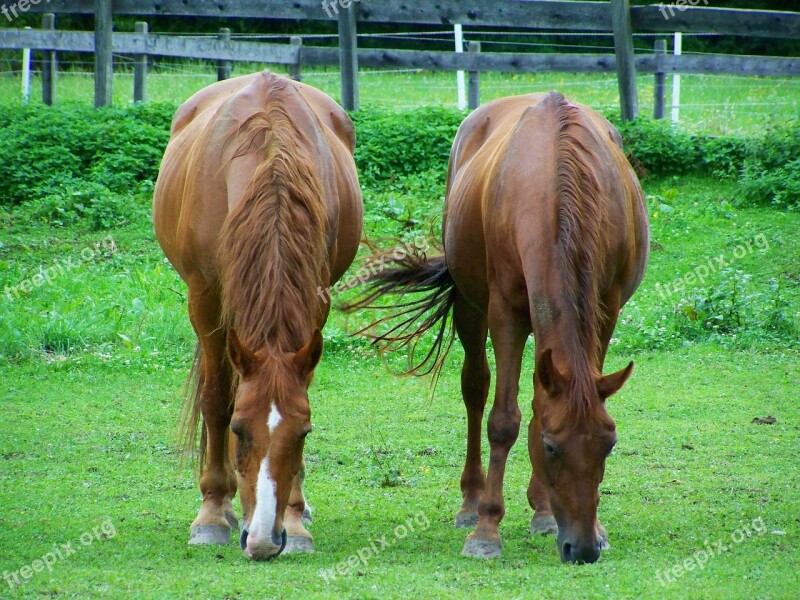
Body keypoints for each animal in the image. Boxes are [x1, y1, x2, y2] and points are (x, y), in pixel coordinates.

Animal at [152, 72, 362, 560]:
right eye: (240, 430)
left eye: (303, 434)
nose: (265, 541)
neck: (271, 164)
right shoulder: (205, 298)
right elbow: (215, 400)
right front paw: (212, 513)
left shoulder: (316, 298)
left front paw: (296, 518)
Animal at [346, 92, 648, 564]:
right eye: (552, 447)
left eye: (609, 444)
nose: (581, 549)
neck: (555, 182)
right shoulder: (504, 313)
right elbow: (502, 420)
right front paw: (487, 530)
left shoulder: (605, 309)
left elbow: (541, 406)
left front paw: (593, 527)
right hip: (472, 309)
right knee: (476, 388)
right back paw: (472, 502)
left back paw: (542, 510)